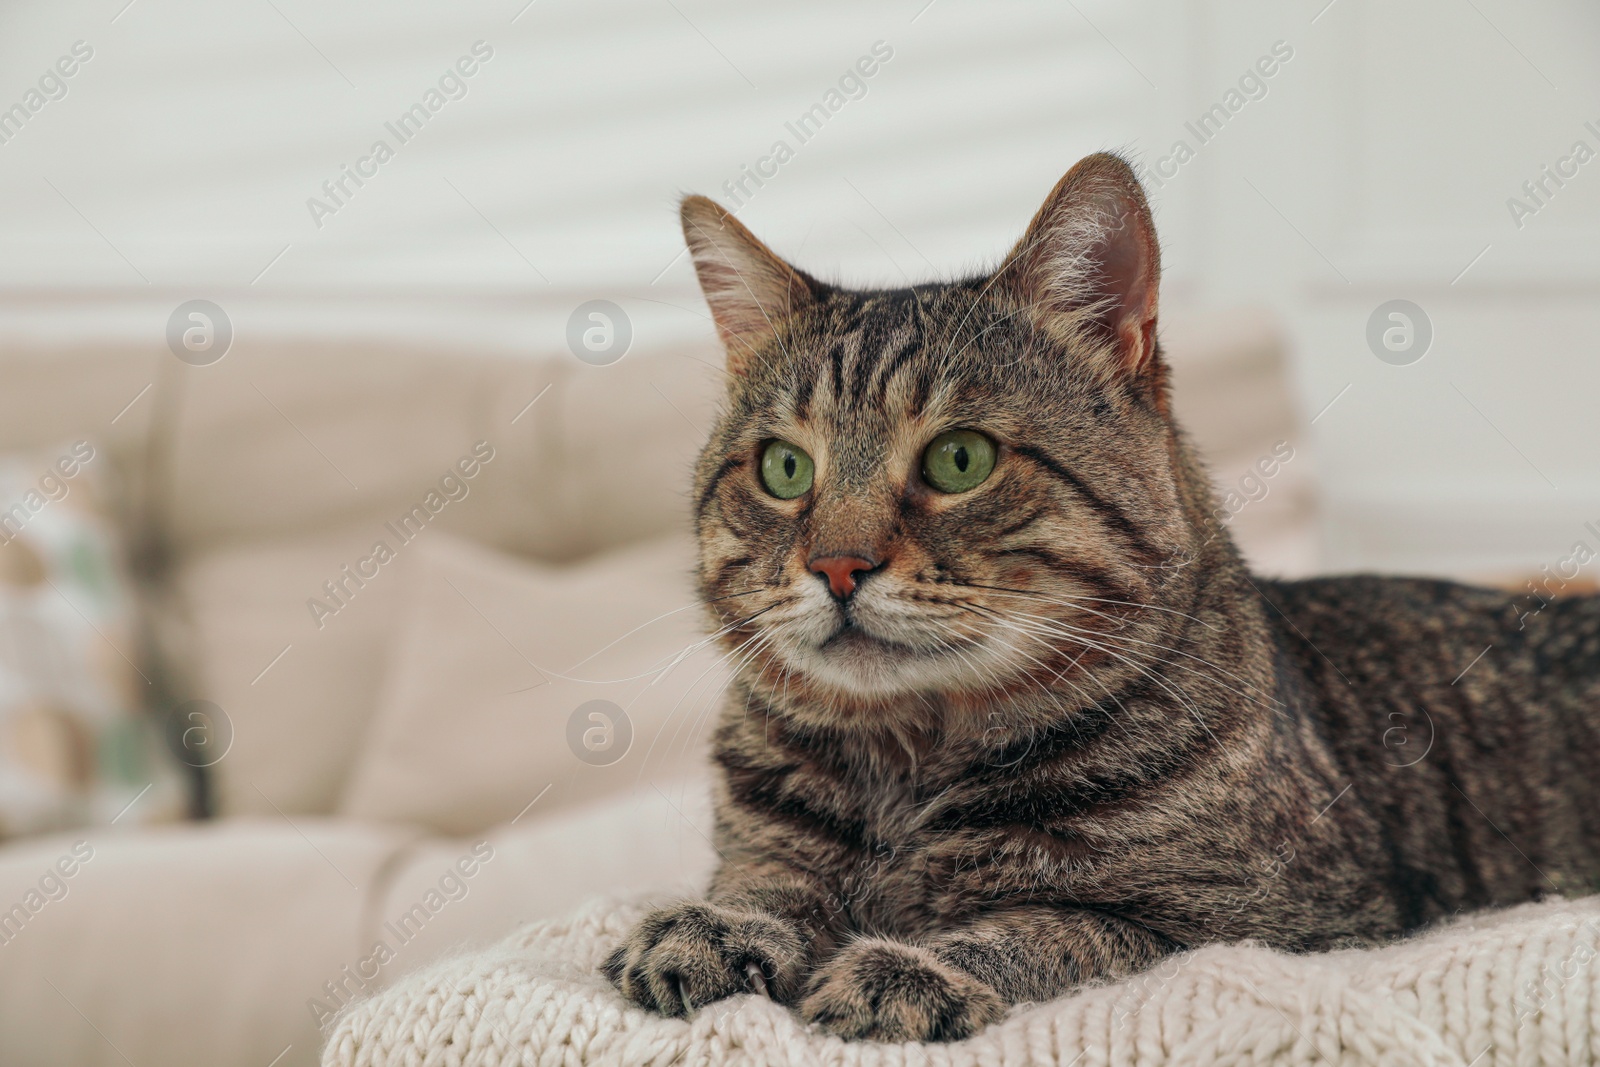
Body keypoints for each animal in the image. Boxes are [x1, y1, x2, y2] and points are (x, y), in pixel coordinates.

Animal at [598, 154, 1600, 1036]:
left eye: (958, 459)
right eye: (783, 468)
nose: (838, 564)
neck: (907, 766)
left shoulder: (1273, 921)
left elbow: (1054, 929)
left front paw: (910, 966)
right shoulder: (760, 843)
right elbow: (766, 877)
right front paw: (717, 925)